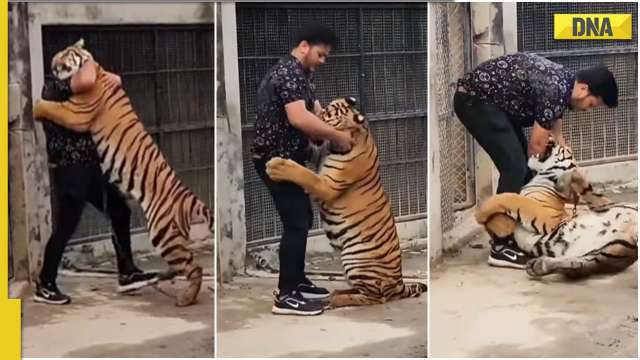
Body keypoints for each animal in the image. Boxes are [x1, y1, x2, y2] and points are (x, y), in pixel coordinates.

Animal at [33, 38, 212, 306]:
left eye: (67, 53)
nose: (53, 63)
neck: (95, 70)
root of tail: (187, 197)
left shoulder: (75, 112)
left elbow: (50, 106)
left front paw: (35, 105)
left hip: (163, 235)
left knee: (194, 267)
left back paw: (185, 298)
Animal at [264, 97, 424, 308]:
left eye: (326, 114)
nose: (311, 118)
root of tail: (399, 284)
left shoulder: (327, 185)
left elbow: (305, 174)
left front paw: (276, 166)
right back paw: (332, 294)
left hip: (356, 261)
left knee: (373, 297)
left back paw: (335, 299)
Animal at [472, 138, 636, 278]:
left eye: (564, 147)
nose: (551, 137)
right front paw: (496, 225)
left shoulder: (547, 217)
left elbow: (512, 198)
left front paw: (481, 214)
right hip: (606, 252)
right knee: (578, 266)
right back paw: (538, 266)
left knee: (585, 185)